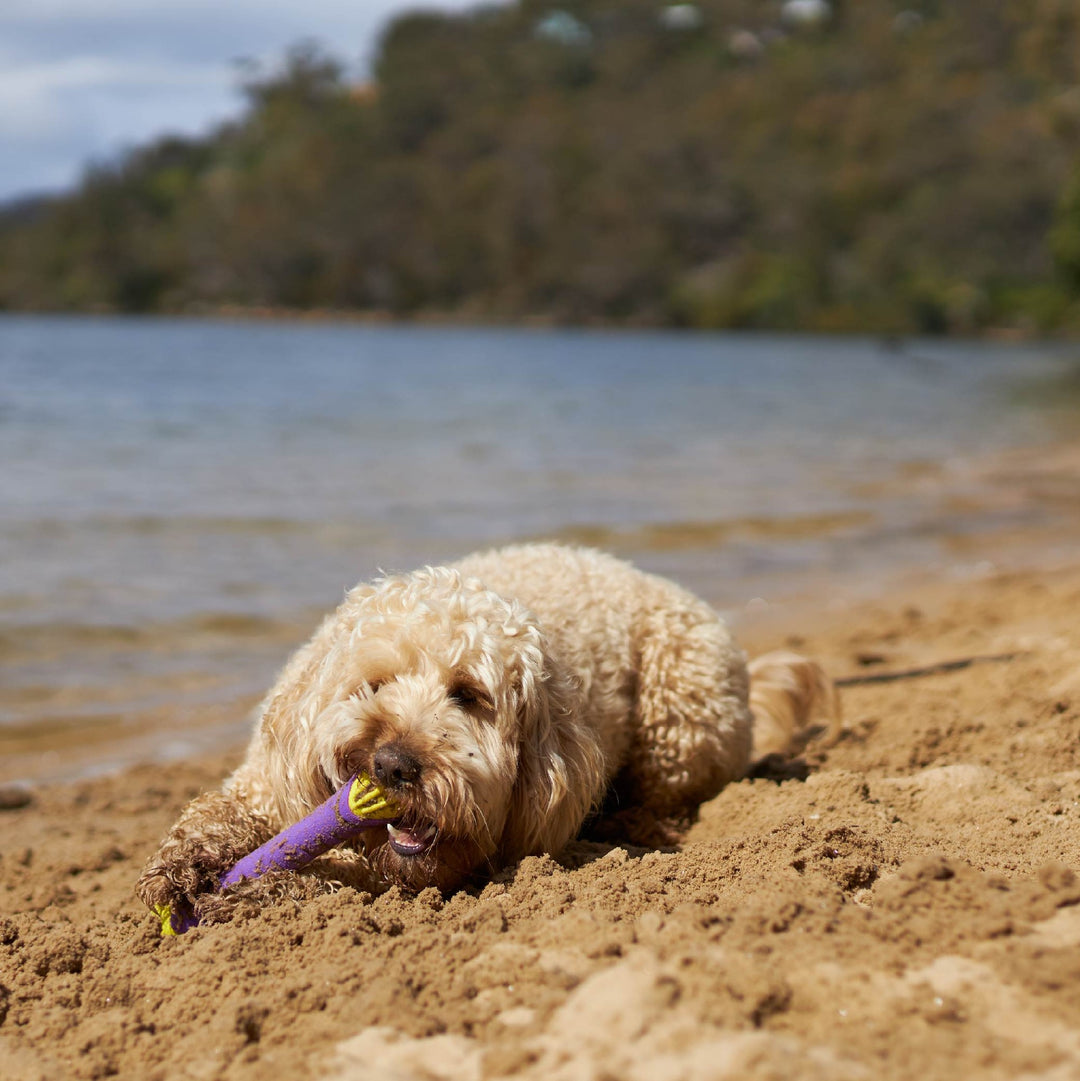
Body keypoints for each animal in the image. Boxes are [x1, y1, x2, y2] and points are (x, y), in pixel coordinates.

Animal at [137, 544, 843, 925]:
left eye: (469, 696)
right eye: (374, 684)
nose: (393, 765)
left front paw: (264, 887)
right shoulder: (265, 777)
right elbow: (222, 812)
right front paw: (193, 865)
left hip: (686, 711)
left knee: (672, 791)